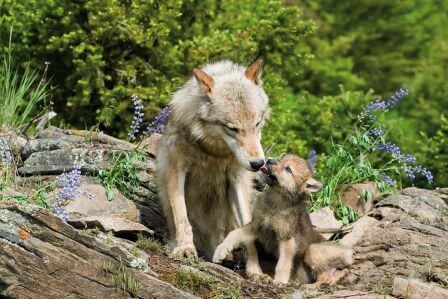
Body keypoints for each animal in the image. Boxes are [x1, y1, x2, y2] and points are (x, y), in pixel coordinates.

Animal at [156, 58, 270, 276]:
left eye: (257, 124)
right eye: (233, 128)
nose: (258, 164)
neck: (214, 151)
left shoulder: (237, 180)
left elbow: (247, 229)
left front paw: (256, 272)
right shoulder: (176, 170)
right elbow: (182, 218)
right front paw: (185, 249)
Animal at [213, 156, 354, 284]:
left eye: (288, 169)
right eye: (282, 158)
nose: (269, 160)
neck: (275, 202)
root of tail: (348, 251)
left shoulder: (286, 240)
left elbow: (282, 264)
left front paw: (279, 281)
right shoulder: (256, 226)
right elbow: (234, 233)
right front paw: (220, 250)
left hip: (312, 251)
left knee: (327, 276)